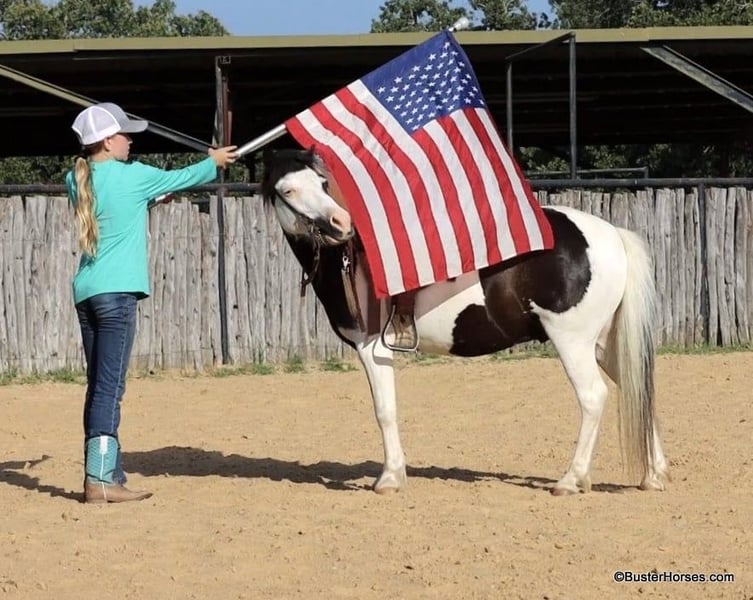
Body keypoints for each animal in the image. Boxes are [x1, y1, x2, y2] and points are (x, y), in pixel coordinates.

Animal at [260, 148, 669, 496]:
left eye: (322, 183)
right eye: (289, 189)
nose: (340, 222)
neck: (352, 257)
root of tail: (612, 235)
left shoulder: (371, 346)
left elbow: (385, 411)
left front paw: (389, 478)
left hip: (573, 342)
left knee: (594, 397)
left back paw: (571, 479)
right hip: (603, 342)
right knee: (637, 387)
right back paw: (653, 475)